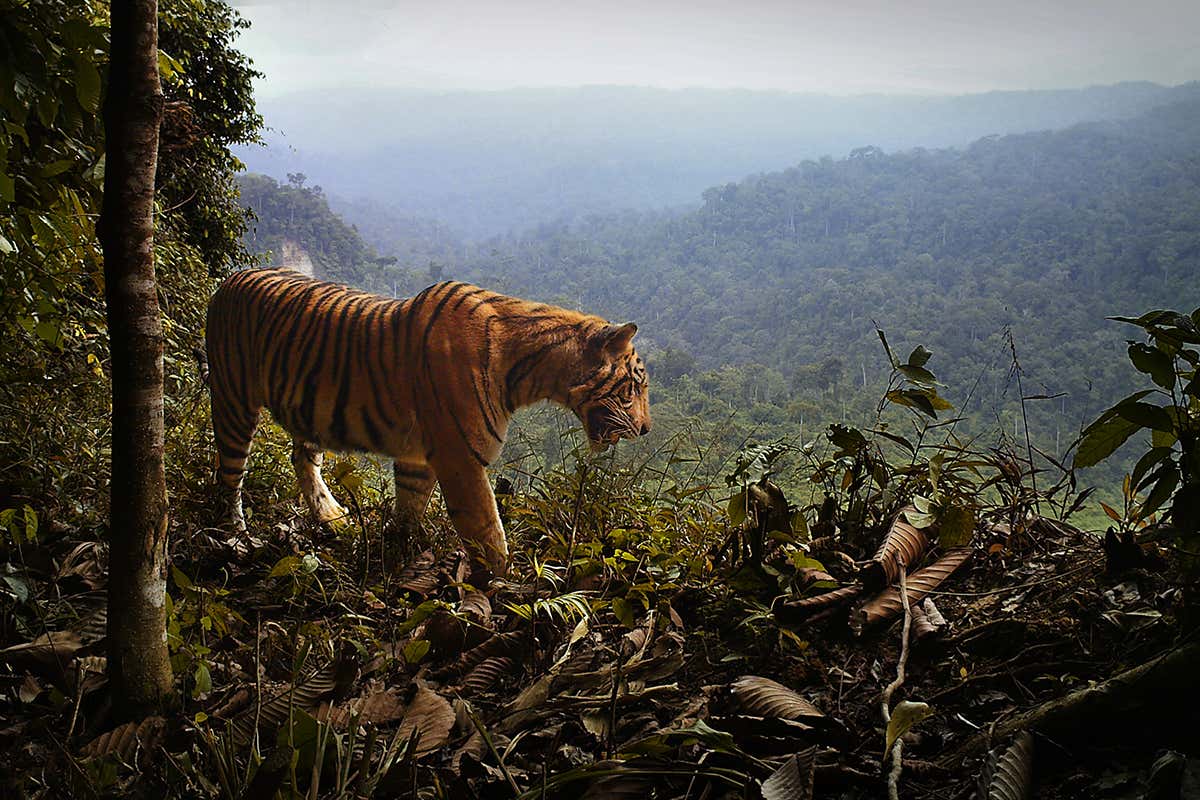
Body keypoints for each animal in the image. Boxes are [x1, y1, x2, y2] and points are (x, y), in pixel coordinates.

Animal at [204, 268, 651, 580]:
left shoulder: (417, 458)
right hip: (233, 402)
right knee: (228, 477)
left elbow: (410, 507)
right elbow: (488, 530)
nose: (646, 429)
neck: (531, 371)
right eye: (635, 386)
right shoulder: (461, 459)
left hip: (306, 412)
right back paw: (235, 537)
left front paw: (396, 554)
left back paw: (331, 516)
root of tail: (231, 278)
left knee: (301, 457)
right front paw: (510, 586)